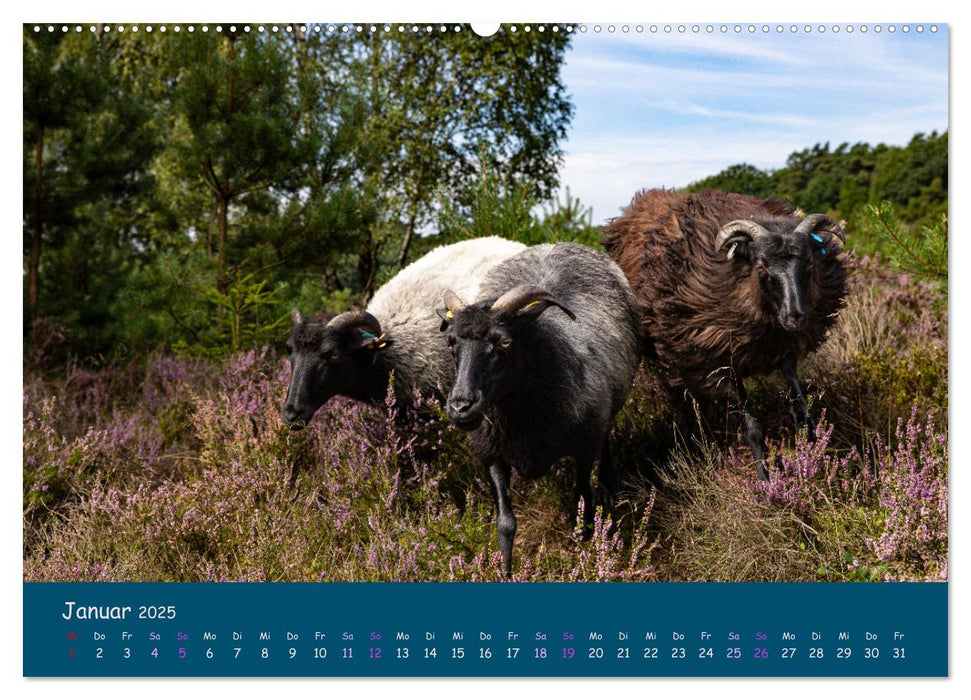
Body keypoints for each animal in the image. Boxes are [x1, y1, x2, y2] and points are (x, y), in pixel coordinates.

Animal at [436, 243, 640, 576]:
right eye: (451, 343)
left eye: (505, 342)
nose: (460, 407)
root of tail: (554, 244)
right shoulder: (493, 454)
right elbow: (505, 523)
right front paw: (505, 572)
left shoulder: (584, 446)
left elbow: (582, 499)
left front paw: (585, 550)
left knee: (607, 438)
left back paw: (609, 484)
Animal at [604, 189, 848, 478]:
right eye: (761, 267)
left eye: (809, 262)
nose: (795, 316)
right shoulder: (728, 358)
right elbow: (753, 428)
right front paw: (765, 480)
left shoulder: (786, 351)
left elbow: (803, 414)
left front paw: (813, 464)